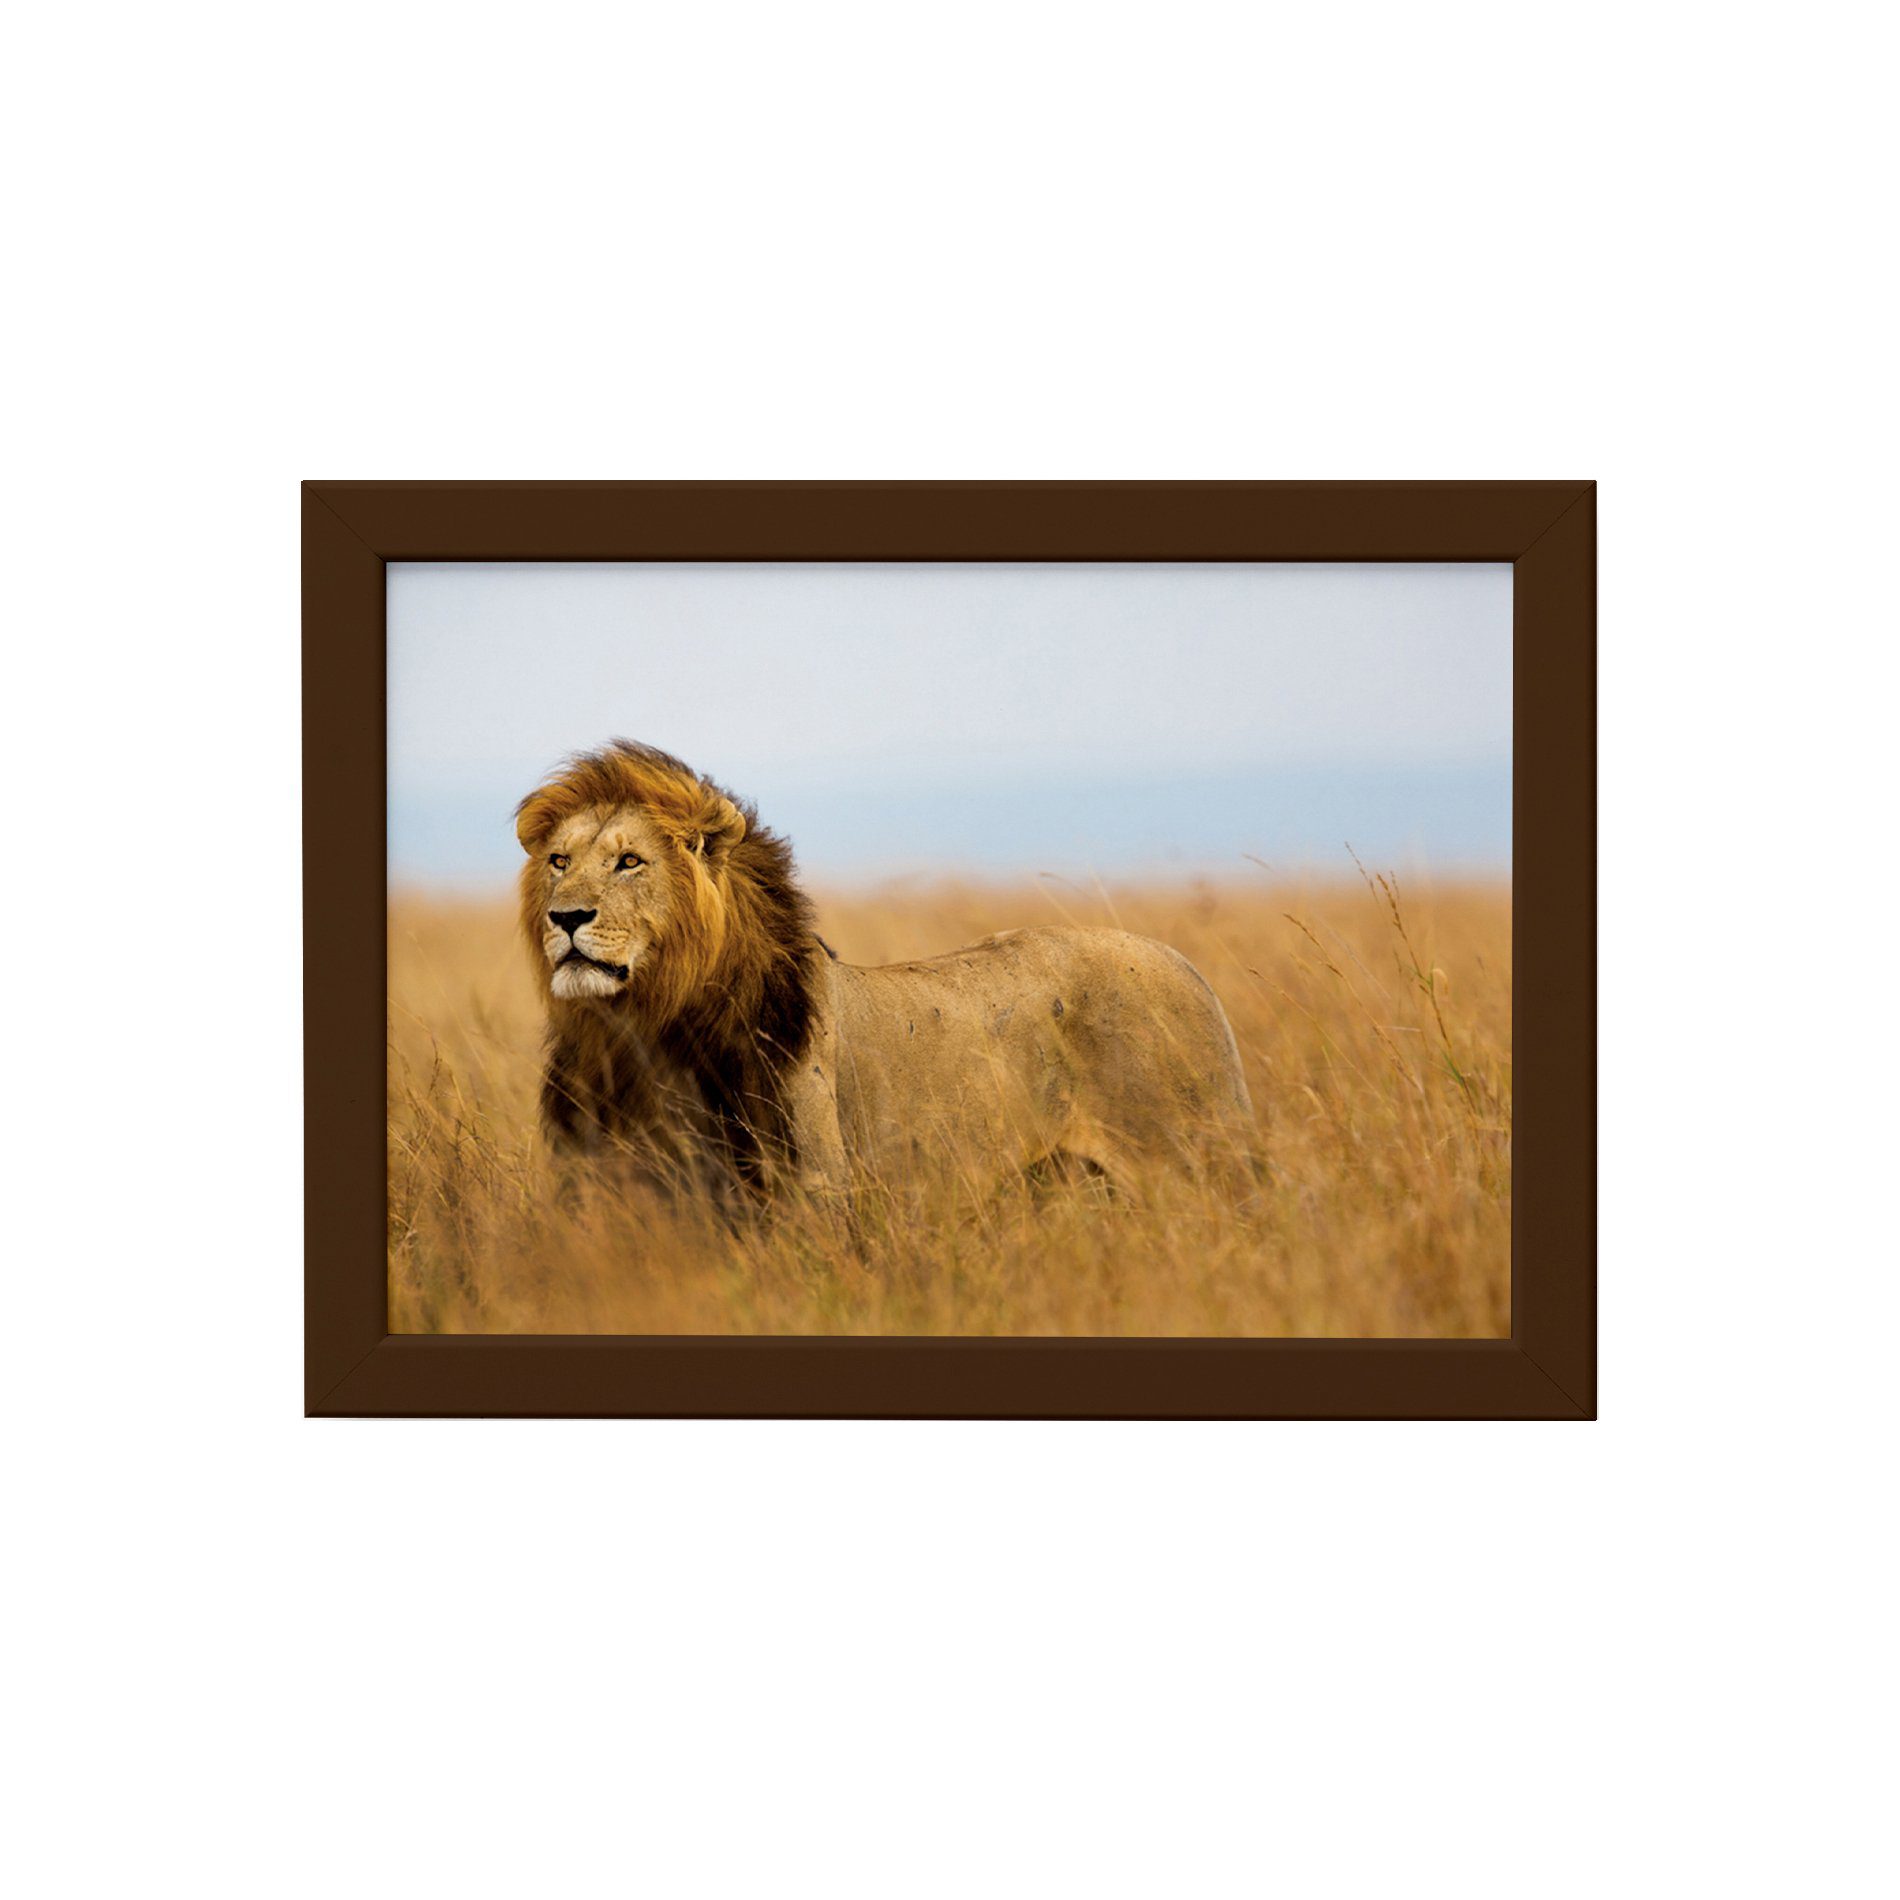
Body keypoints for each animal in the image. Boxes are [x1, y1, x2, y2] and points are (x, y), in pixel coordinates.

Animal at [515, 741, 1256, 1202]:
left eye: (629, 861)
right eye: (559, 861)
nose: (566, 917)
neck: (641, 1029)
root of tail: (1187, 966)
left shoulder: (811, 1190)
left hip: (1197, 1167)